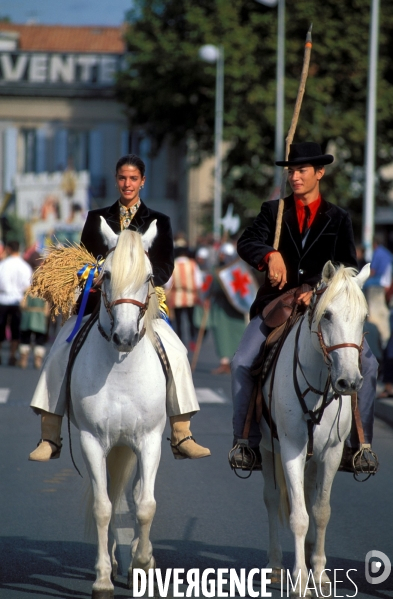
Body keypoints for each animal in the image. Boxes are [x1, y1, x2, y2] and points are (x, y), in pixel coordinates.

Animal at [70, 219, 165, 599]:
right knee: (112, 495)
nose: (124, 337)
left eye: (150, 276)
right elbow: (103, 507)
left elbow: (146, 506)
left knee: (136, 494)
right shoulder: (93, 442)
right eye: (106, 274)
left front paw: (142, 562)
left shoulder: (150, 441)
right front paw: (103, 579)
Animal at [260, 262, 368, 596]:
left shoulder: (331, 452)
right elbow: (298, 516)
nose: (349, 382)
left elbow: (320, 511)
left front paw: (318, 573)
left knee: (308, 496)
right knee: (272, 499)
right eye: (328, 314)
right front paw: (299, 581)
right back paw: (276, 566)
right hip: (266, 449)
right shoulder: (291, 449)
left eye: (364, 317)